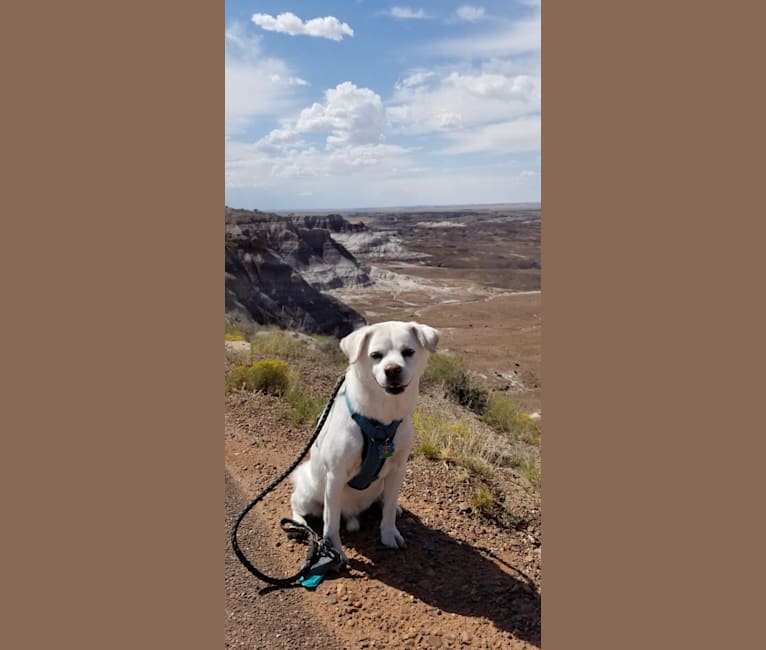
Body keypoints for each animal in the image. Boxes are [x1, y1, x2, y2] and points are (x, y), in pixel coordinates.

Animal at [292, 320, 440, 560]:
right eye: (376, 355)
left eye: (408, 352)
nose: (393, 370)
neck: (381, 421)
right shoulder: (335, 475)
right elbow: (330, 520)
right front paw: (333, 549)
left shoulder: (398, 469)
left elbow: (388, 510)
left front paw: (389, 533)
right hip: (308, 491)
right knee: (297, 504)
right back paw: (298, 524)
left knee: (386, 501)